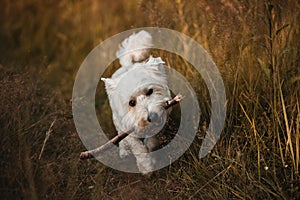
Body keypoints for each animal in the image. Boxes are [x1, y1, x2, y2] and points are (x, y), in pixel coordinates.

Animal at [101, 30, 170, 173]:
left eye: (150, 91)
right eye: (131, 103)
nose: (152, 116)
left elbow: (152, 140)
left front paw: (151, 149)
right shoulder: (129, 131)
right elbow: (138, 148)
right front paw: (146, 167)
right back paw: (124, 151)